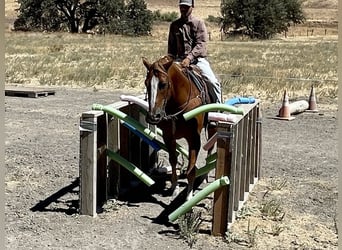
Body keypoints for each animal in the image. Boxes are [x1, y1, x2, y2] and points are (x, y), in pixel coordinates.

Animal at [142, 55, 216, 200]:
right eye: (146, 84)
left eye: (163, 84)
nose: (153, 116)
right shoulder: (168, 136)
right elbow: (173, 160)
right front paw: (174, 187)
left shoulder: (194, 139)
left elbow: (191, 169)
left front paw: (189, 195)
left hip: (211, 128)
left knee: (210, 149)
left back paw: (205, 175)